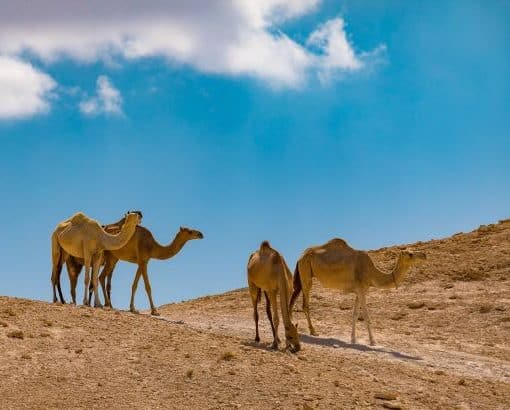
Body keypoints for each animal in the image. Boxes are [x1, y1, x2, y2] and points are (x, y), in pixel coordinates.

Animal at [67, 223, 203, 316]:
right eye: (189, 231)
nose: (201, 234)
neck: (153, 246)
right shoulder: (143, 260)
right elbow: (147, 286)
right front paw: (154, 311)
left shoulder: (141, 262)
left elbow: (135, 284)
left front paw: (133, 308)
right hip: (104, 255)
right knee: (99, 276)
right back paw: (103, 304)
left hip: (113, 257)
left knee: (101, 277)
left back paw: (107, 304)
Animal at [288, 239, 424, 344]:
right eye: (410, 254)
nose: (424, 255)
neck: (372, 272)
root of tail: (301, 256)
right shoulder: (361, 289)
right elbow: (366, 315)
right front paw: (373, 341)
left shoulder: (360, 290)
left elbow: (355, 314)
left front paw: (353, 339)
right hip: (306, 272)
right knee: (305, 304)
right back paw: (313, 331)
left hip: (303, 273)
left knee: (294, 297)